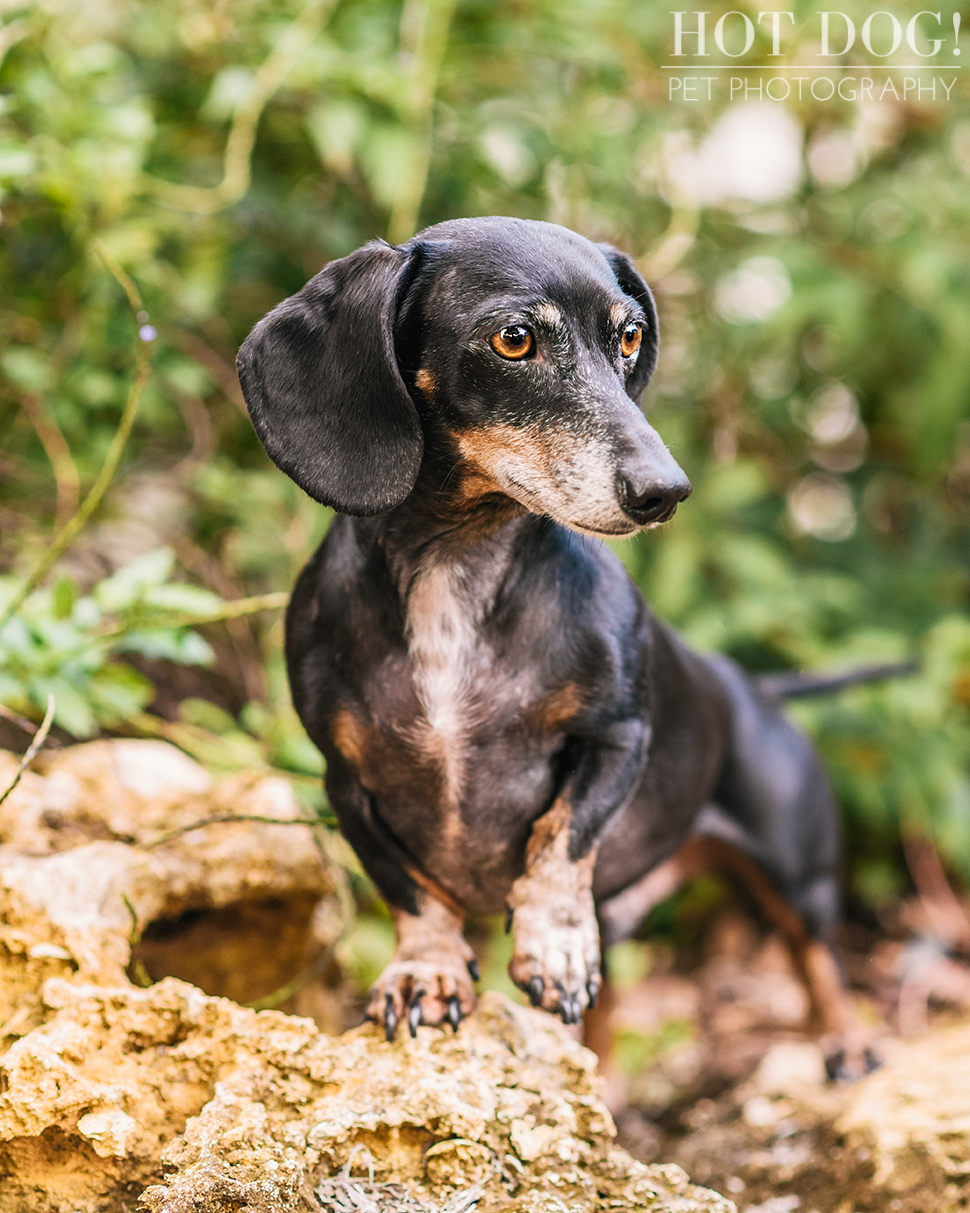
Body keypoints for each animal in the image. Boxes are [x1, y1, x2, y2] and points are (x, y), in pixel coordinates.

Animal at [236, 213, 863, 1077]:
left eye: (629, 336)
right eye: (514, 338)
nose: (665, 491)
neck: (456, 563)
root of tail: (759, 690)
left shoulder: (617, 737)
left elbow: (561, 836)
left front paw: (554, 944)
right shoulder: (345, 780)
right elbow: (411, 889)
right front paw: (425, 969)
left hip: (797, 871)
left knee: (818, 953)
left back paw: (846, 1041)